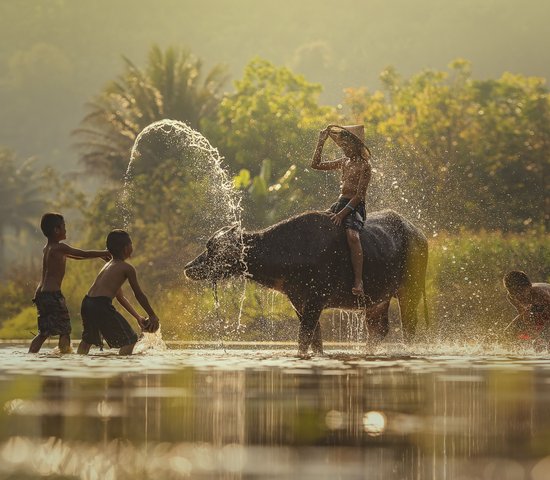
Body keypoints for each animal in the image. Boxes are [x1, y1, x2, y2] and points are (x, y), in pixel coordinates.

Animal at [184, 211, 426, 356]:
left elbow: (303, 339)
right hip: (377, 300)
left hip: (409, 292)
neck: (292, 251)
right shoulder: (299, 303)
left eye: (212, 249)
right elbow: (315, 341)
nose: (188, 268)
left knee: (408, 327)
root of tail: (420, 235)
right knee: (378, 329)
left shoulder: (314, 302)